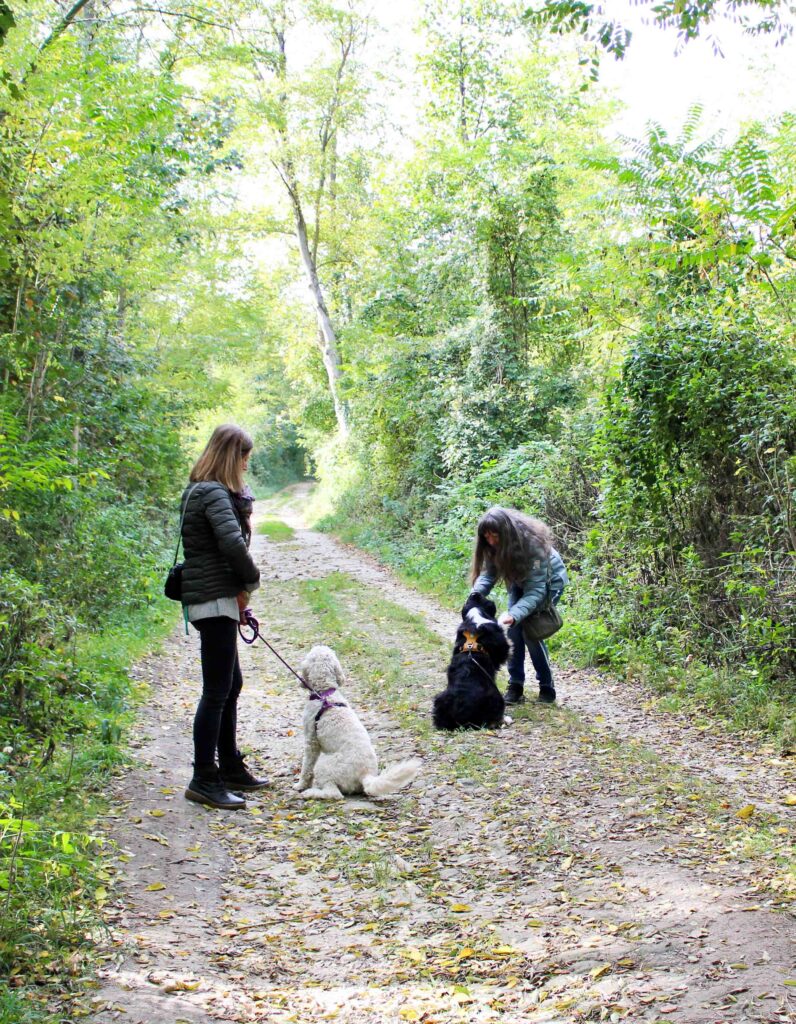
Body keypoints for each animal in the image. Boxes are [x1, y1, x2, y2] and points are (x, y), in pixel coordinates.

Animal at [292, 647, 422, 798]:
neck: (325, 694)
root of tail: (365, 775)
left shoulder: (311, 740)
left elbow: (306, 767)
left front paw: (300, 785)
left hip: (324, 766)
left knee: (334, 793)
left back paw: (310, 792)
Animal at [434, 593, 510, 729]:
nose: (475, 593)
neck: (475, 616)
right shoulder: (501, 649)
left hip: (439, 699)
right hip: (497, 698)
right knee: (493, 719)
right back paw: (506, 719)